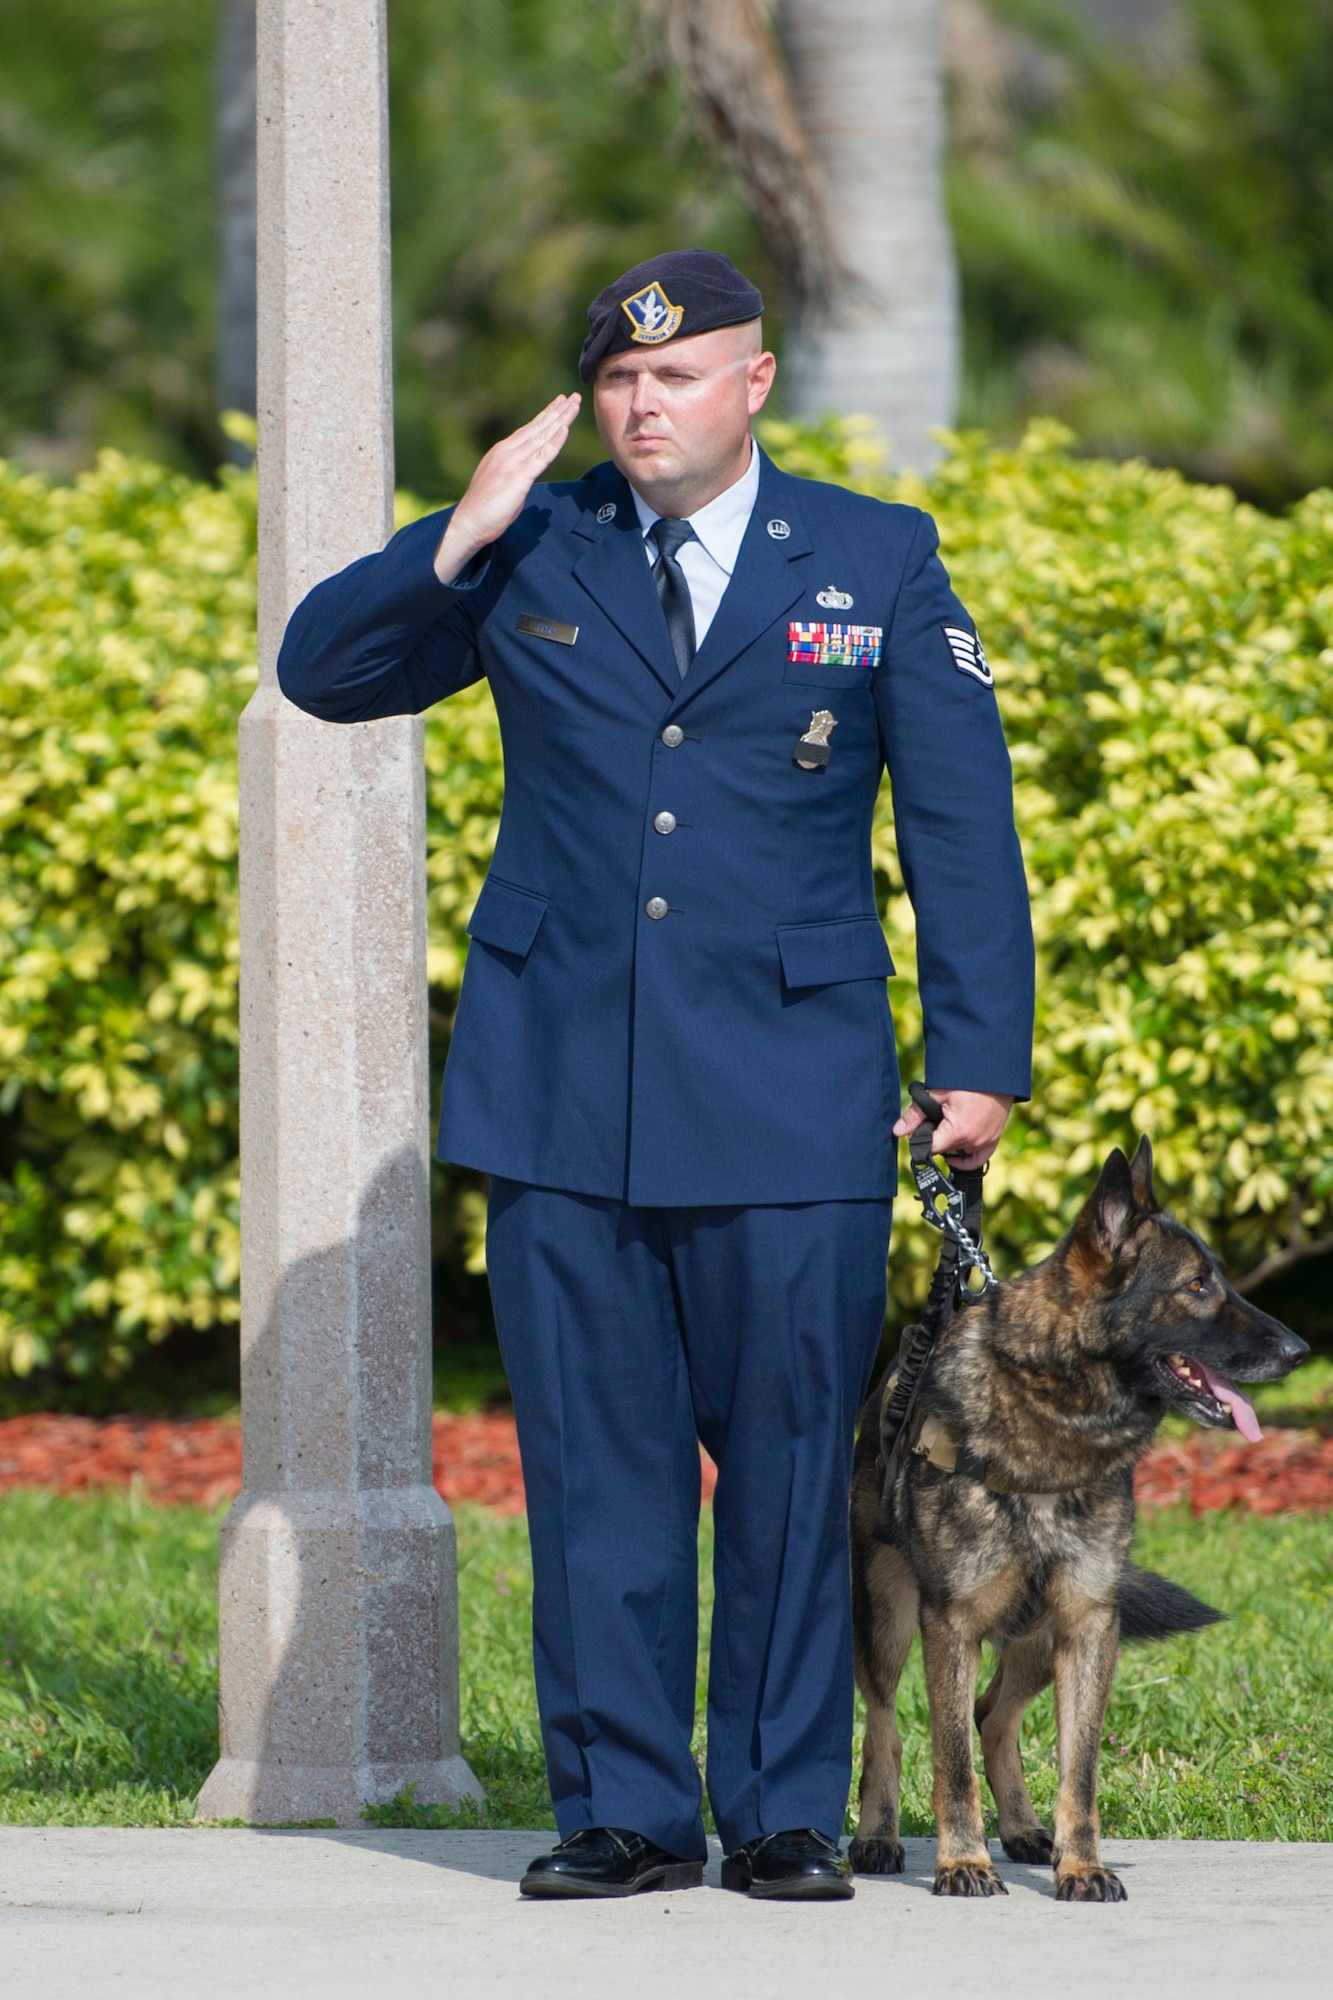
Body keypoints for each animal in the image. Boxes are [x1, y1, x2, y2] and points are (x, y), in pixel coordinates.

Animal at [852, 1144, 1296, 1904]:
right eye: (1196, 1285)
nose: (1299, 1351)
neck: (1054, 1418)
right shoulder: (952, 1623)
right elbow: (950, 1762)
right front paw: (962, 1862)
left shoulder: (1089, 1623)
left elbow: (1078, 1768)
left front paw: (1080, 1864)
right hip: (889, 1620)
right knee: (885, 1726)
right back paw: (877, 1836)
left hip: (1037, 1636)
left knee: (991, 1717)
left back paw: (1027, 1830)